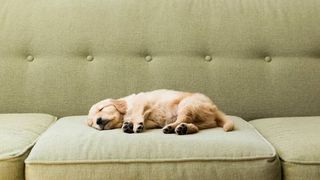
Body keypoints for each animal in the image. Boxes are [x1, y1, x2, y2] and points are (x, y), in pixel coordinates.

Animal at [86, 89, 234, 134]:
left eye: (101, 109)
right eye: (92, 123)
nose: (98, 121)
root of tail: (214, 107)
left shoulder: (142, 101)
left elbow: (137, 113)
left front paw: (134, 124)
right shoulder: (151, 120)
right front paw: (128, 125)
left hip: (187, 104)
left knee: (182, 118)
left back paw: (171, 127)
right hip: (201, 119)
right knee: (194, 125)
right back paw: (184, 129)